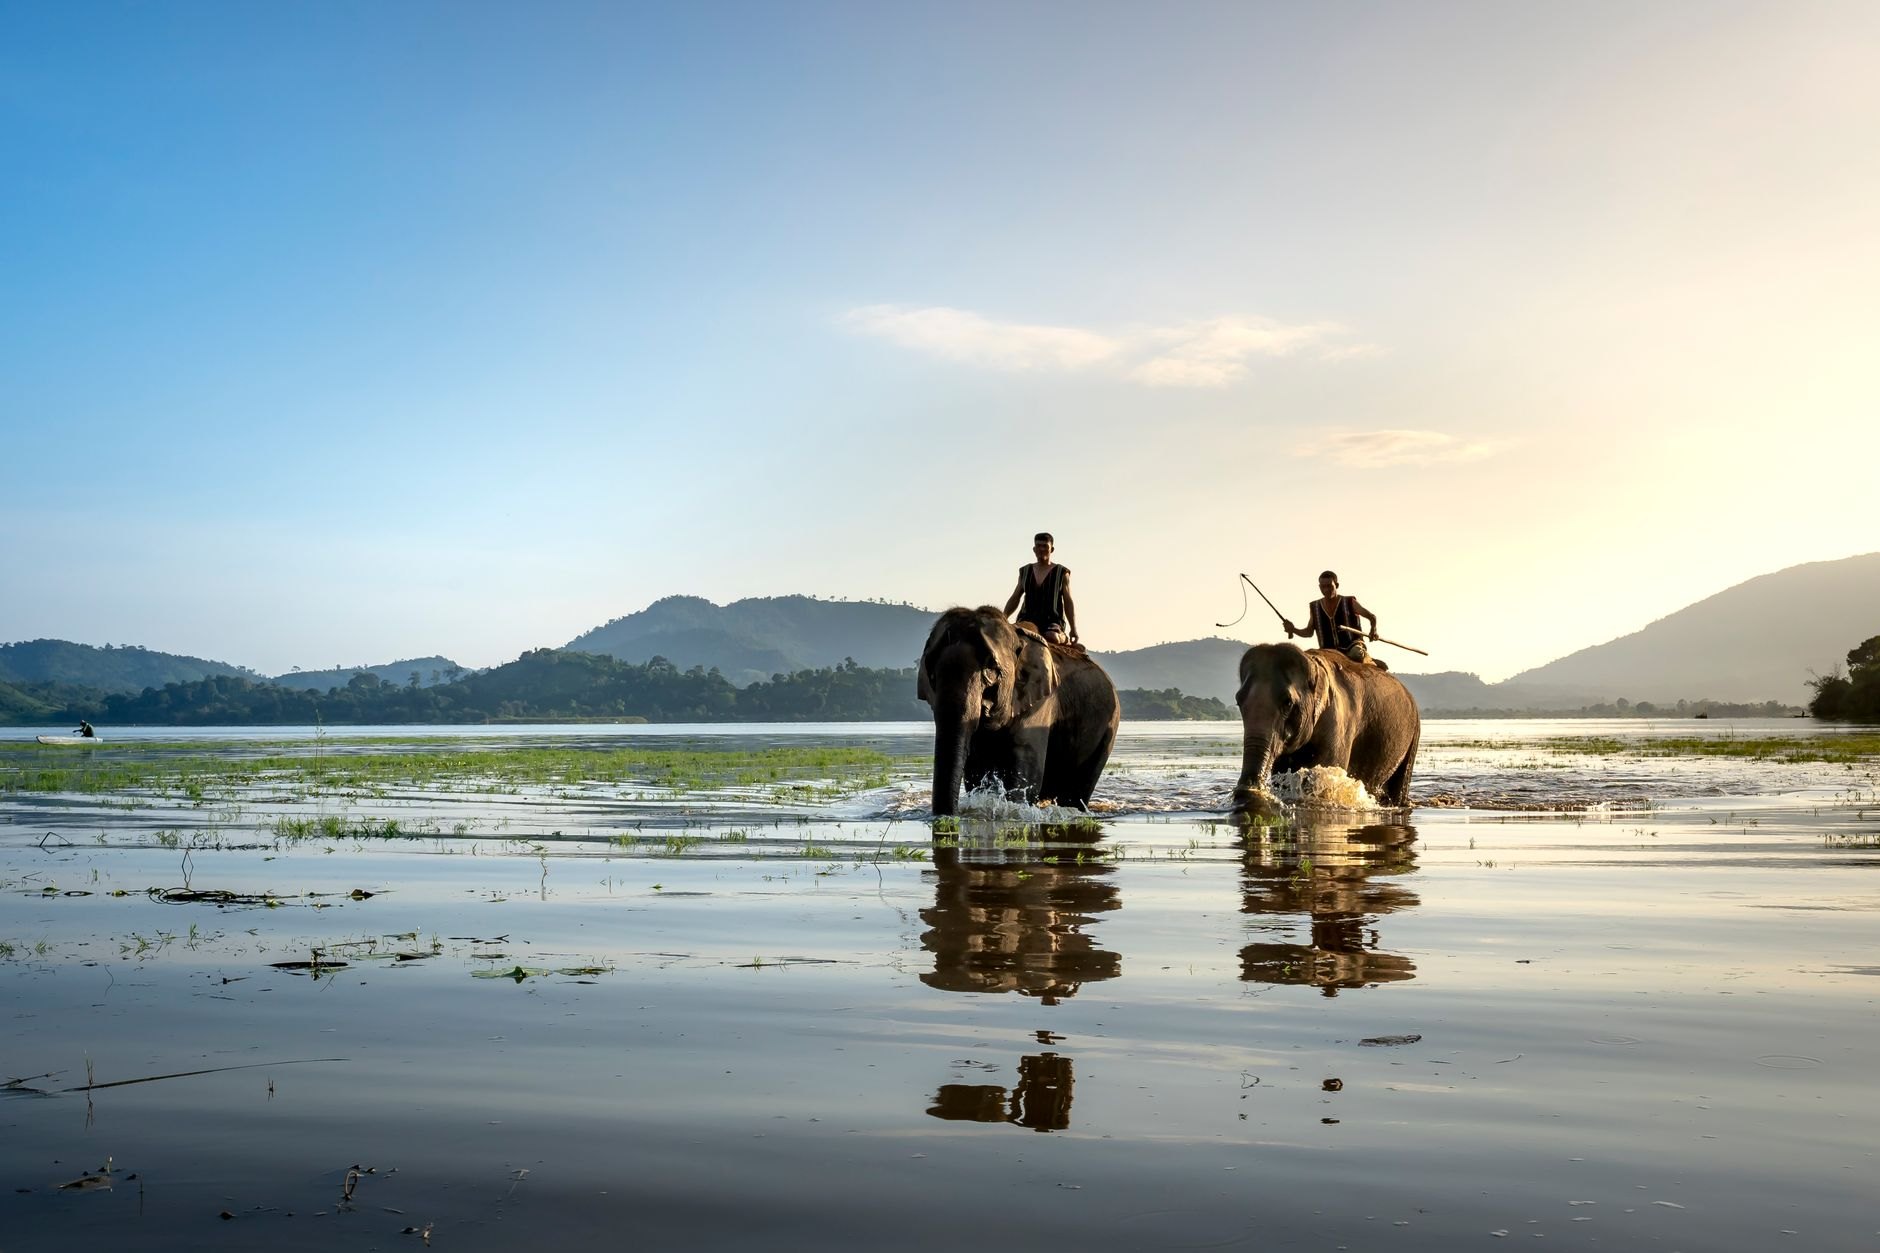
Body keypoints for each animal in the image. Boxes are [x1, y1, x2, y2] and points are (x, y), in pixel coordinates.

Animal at [917, 606, 1122, 817]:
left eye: (991, 668)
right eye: (931, 675)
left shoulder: (1040, 703)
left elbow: (1025, 775)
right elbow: (976, 772)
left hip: (1109, 726)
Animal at [1229, 643, 1419, 814]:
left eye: (1288, 702)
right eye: (1238, 700)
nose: (1246, 792)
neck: (1313, 664)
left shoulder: (1339, 722)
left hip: (1414, 735)